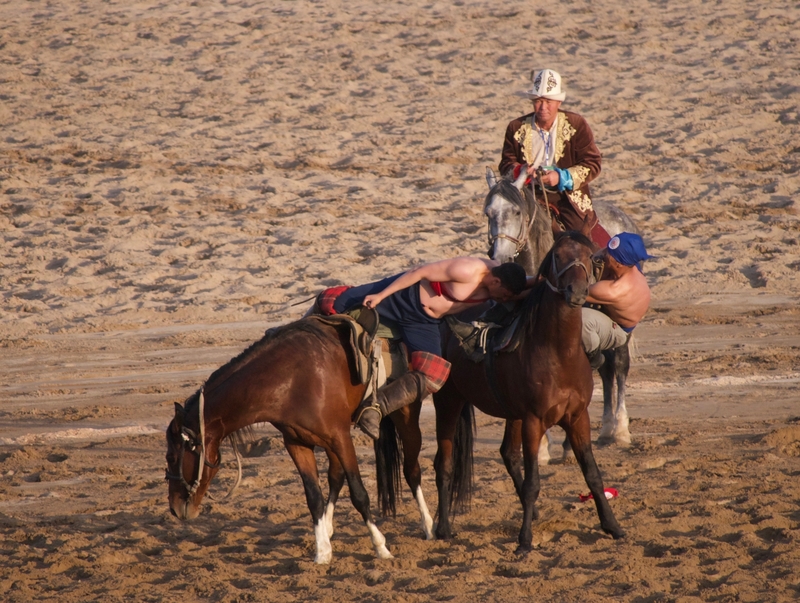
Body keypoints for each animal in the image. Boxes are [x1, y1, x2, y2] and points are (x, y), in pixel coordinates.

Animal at [164, 320, 438, 568]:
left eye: (172, 457)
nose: (175, 509)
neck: (292, 379)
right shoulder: (297, 443)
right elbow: (314, 497)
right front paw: (322, 552)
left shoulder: (341, 438)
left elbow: (359, 494)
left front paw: (381, 547)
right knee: (335, 476)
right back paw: (328, 527)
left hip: (405, 420)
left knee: (411, 471)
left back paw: (428, 525)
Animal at [432, 231, 624, 552]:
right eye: (557, 256)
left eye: (589, 257)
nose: (576, 292)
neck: (559, 352)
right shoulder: (534, 421)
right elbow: (534, 481)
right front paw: (524, 541)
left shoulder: (577, 418)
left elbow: (593, 475)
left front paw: (612, 526)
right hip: (448, 403)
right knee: (444, 464)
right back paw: (444, 528)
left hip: (511, 415)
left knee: (508, 454)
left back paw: (528, 511)